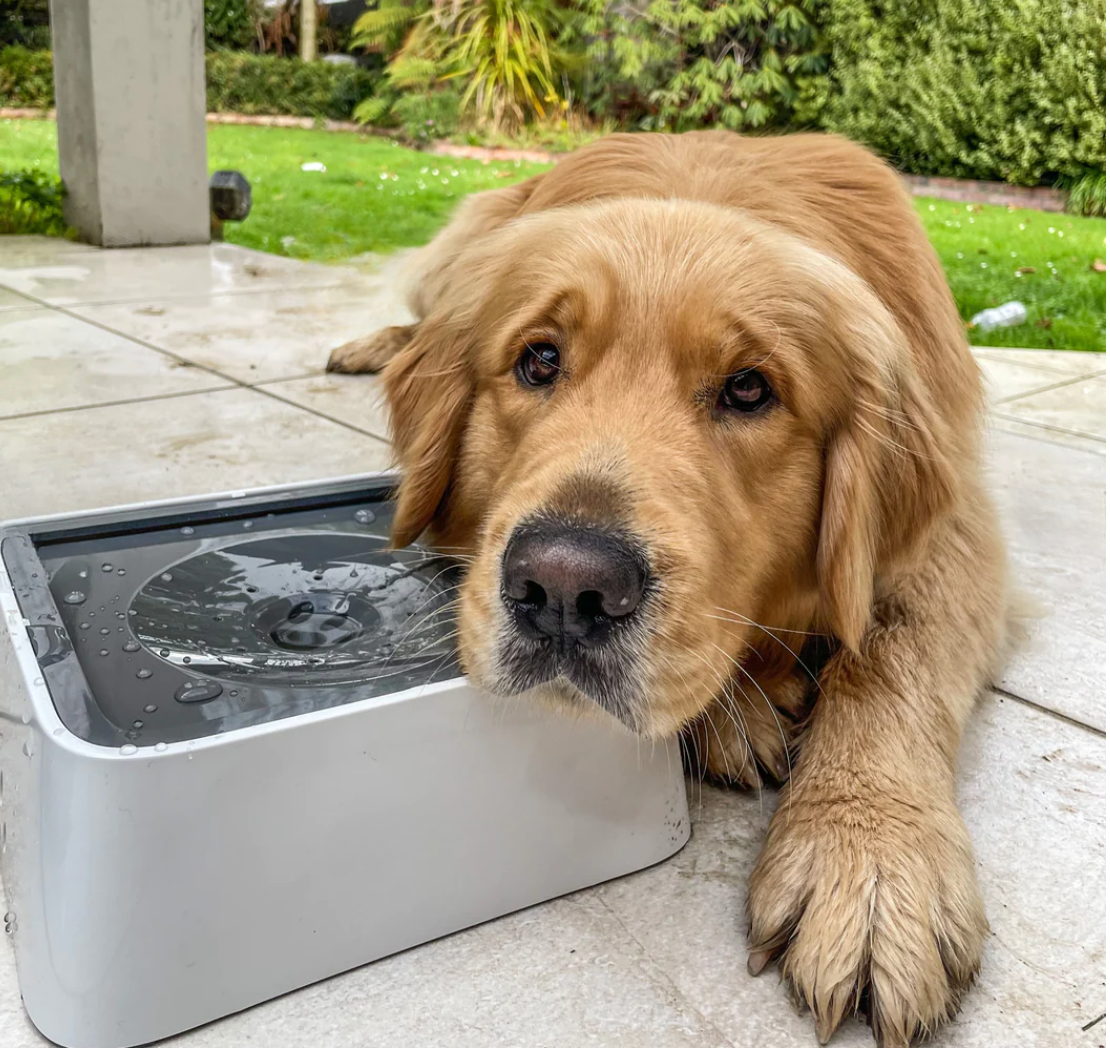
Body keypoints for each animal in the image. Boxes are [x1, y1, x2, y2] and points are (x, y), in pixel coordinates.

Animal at [324, 133, 1012, 1048]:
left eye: (750, 388)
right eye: (539, 360)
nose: (565, 587)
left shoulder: (954, 529)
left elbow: (889, 654)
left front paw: (867, 856)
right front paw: (741, 715)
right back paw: (376, 345)